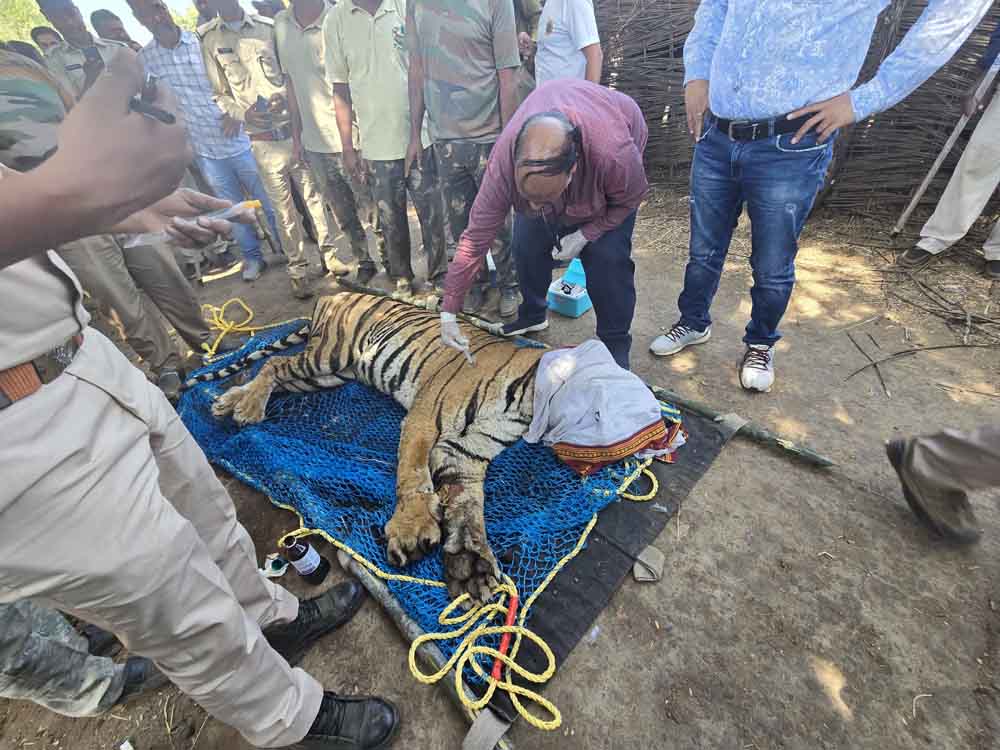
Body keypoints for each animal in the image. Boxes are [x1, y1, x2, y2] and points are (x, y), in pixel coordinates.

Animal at [190, 290, 544, 604]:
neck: (523, 404)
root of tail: (330, 295)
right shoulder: (424, 418)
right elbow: (413, 473)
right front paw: (412, 529)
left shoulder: (466, 450)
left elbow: (466, 505)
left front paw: (471, 565)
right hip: (327, 356)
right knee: (274, 364)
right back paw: (247, 408)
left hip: (329, 375)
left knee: (277, 376)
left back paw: (228, 402)